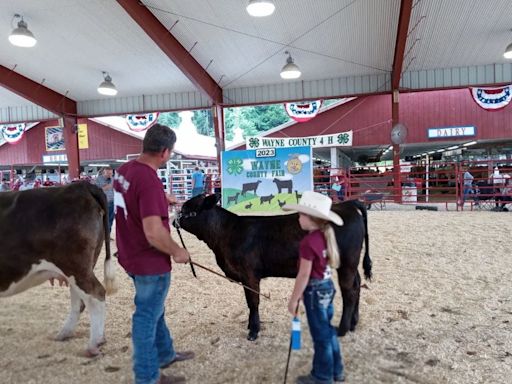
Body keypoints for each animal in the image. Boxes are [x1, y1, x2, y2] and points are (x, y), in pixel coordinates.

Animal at [0, 182, 117, 356]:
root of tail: (81, 185)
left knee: (96, 294)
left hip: (74, 265)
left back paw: (93, 345)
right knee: (80, 301)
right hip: (79, 269)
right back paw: (67, 334)